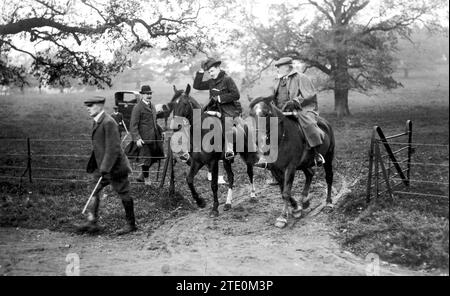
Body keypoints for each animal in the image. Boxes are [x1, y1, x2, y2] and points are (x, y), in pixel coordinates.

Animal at [168, 84, 258, 216]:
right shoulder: (197, 162)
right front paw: (200, 202)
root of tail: (244, 123)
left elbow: (214, 185)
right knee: (231, 177)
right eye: (173, 104)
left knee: (250, 173)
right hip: (226, 160)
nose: (175, 126)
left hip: (247, 154)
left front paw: (214, 208)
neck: (202, 133)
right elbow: (189, 180)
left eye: (184, 104)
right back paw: (228, 203)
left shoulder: (213, 162)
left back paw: (252, 195)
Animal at [248, 96, 336, 228]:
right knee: (310, 174)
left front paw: (282, 218)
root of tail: (326, 123)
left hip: (328, 157)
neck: (281, 139)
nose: (259, 139)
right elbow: (283, 190)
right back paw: (304, 199)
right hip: (304, 163)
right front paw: (296, 208)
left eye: (267, 113)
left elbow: (286, 192)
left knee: (329, 177)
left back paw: (328, 202)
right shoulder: (275, 169)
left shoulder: (290, 168)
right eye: (252, 114)